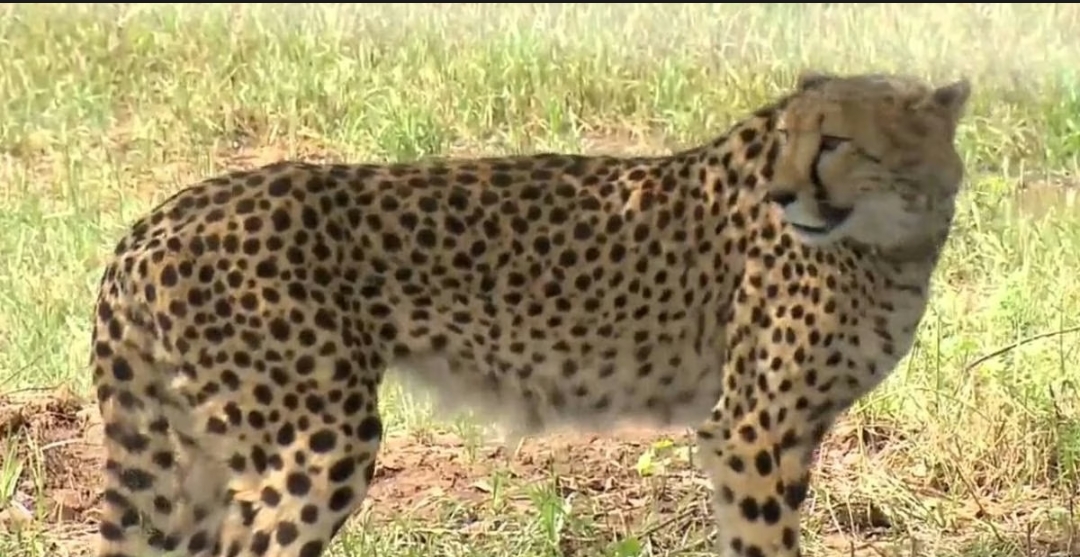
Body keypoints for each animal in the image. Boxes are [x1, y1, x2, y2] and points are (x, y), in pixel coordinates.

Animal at [89, 71, 971, 557]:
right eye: (789, 139)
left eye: (835, 142)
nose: (785, 195)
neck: (892, 238)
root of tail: (152, 221)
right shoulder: (753, 428)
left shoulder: (784, 431)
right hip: (316, 440)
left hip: (200, 455)